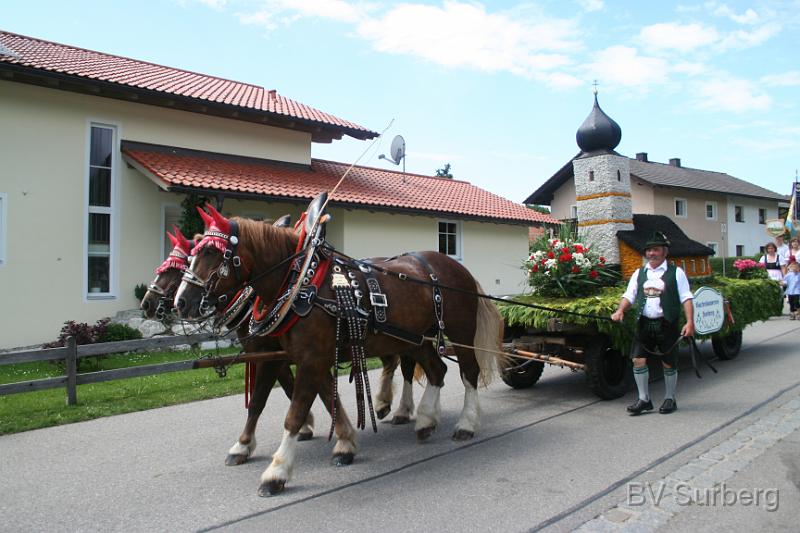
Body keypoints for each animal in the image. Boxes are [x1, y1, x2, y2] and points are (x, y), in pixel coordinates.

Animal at [177, 208, 500, 494]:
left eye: (212, 252)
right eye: (193, 253)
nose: (181, 302)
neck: (299, 283)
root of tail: (456, 267)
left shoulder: (310, 359)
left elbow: (295, 413)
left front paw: (277, 471)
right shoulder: (288, 357)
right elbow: (266, 401)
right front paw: (245, 446)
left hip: (460, 331)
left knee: (468, 372)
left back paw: (466, 423)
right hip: (415, 339)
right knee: (436, 370)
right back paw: (424, 420)